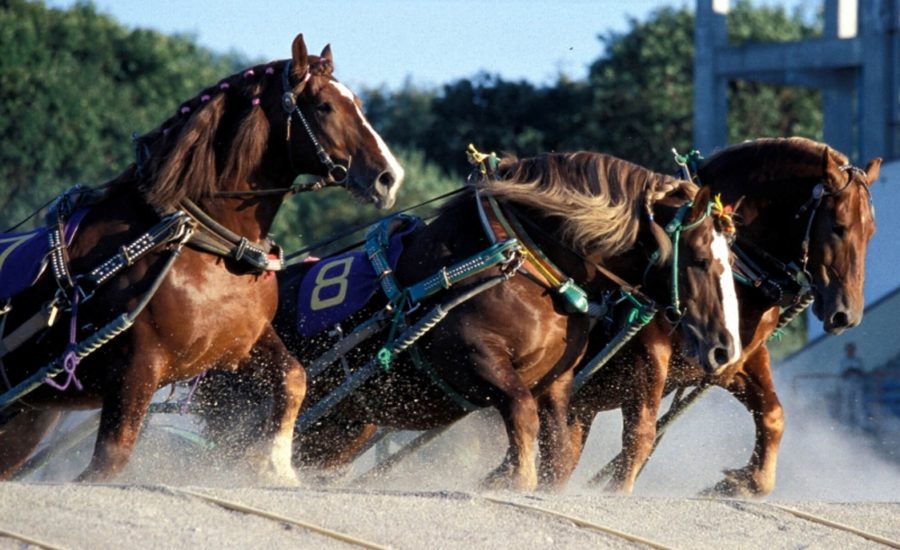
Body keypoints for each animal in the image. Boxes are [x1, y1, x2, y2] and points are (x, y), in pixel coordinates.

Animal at [0, 33, 404, 483]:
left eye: (359, 104)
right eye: (324, 106)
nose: (389, 177)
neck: (207, 245)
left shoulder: (241, 345)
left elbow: (294, 376)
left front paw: (274, 464)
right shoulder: (136, 370)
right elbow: (110, 461)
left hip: (25, 418)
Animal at [202, 151, 742, 492]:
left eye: (729, 259)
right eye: (699, 258)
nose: (724, 346)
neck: (523, 261)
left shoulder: (556, 382)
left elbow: (560, 446)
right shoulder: (472, 358)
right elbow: (520, 413)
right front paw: (513, 478)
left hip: (341, 427)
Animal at [538, 137, 880, 495]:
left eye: (871, 230)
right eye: (839, 227)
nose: (846, 314)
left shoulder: (736, 359)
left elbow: (773, 416)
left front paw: (742, 482)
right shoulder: (649, 354)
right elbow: (640, 436)